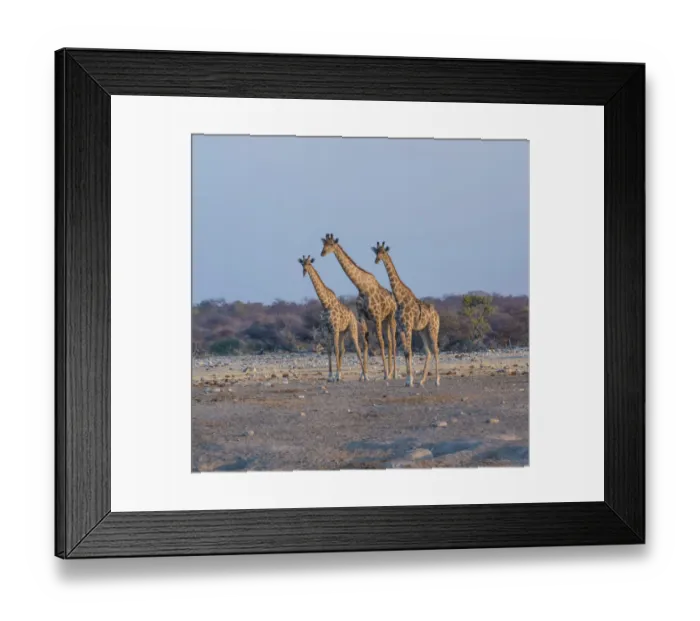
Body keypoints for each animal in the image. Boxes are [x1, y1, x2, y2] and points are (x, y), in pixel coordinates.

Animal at [320, 234, 398, 380]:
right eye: (324, 244)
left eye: (331, 244)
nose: (322, 253)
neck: (362, 287)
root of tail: (393, 300)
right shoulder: (362, 315)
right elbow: (365, 342)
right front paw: (363, 375)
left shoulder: (376, 316)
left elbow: (380, 341)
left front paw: (385, 373)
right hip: (385, 320)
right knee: (390, 341)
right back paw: (391, 372)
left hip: (390, 317)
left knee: (393, 341)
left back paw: (393, 373)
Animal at [372, 242, 440, 387]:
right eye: (376, 252)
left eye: (383, 252)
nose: (376, 260)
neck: (399, 299)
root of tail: (437, 314)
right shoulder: (401, 328)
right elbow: (405, 352)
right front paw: (409, 380)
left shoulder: (408, 327)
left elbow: (409, 352)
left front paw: (410, 380)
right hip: (422, 330)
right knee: (428, 351)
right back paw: (422, 380)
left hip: (433, 328)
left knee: (436, 349)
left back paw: (437, 380)